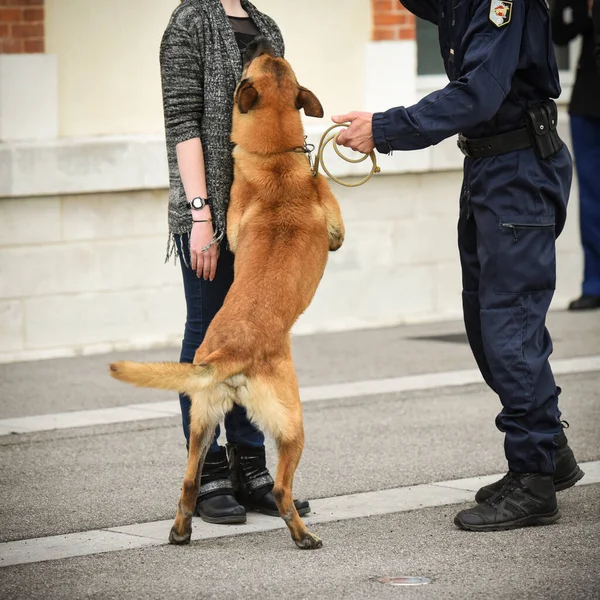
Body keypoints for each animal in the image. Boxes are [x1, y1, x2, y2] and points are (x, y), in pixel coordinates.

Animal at [110, 38, 344, 552]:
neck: (274, 157)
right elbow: (338, 232)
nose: (260, 40)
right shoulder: (333, 214)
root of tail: (228, 355)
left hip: (201, 423)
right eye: (259, 60)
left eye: (274, 60)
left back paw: (182, 530)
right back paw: (303, 536)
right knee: (281, 489)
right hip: (293, 423)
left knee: (189, 483)